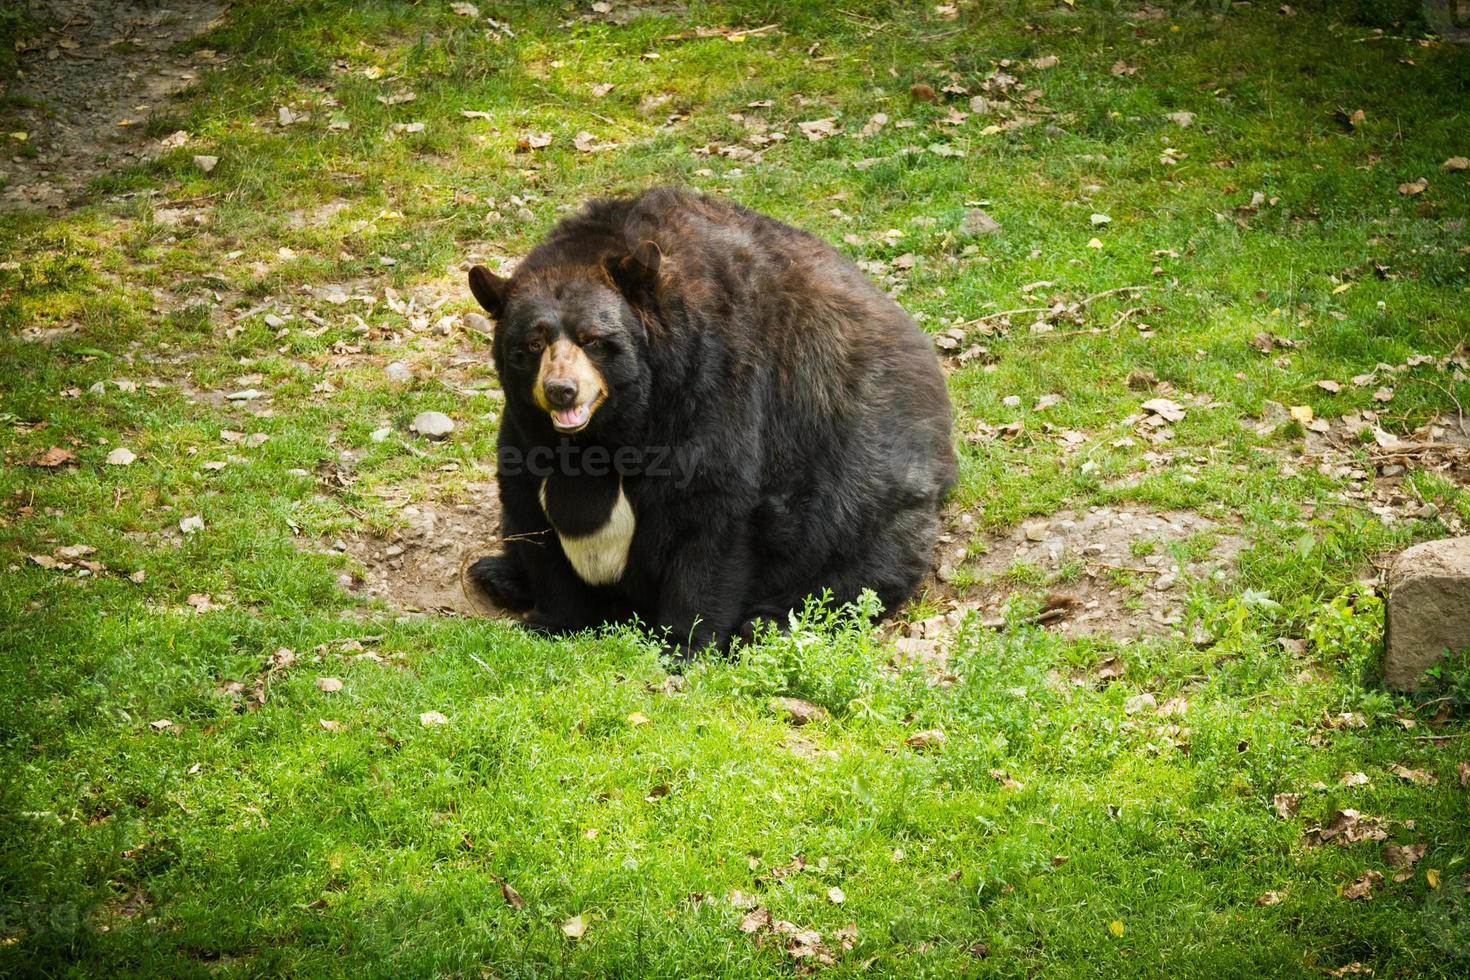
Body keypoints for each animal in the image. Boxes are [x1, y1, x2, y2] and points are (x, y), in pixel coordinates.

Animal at [464, 185, 958, 658]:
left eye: (593, 340)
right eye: (533, 344)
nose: (561, 390)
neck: (612, 432)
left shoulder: (715, 387)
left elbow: (710, 510)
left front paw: (682, 643)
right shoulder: (527, 431)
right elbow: (532, 511)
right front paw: (552, 619)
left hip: (868, 501)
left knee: (857, 568)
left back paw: (768, 622)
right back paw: (496, 573)